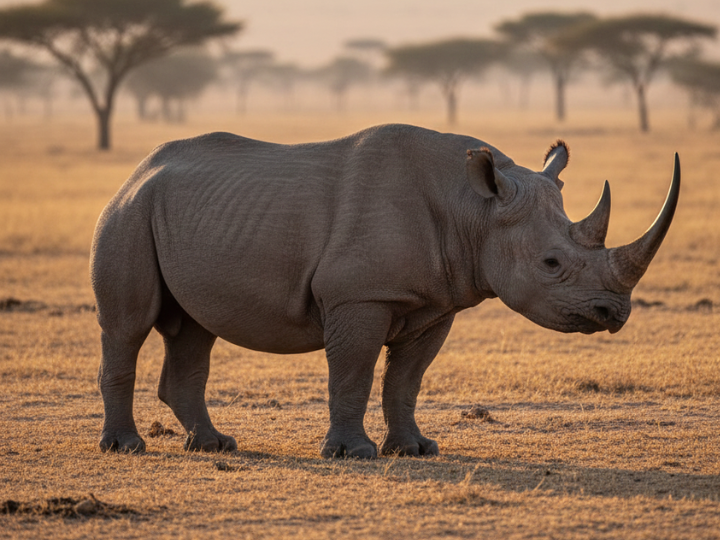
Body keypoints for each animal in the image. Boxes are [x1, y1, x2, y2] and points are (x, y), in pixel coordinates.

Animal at [90, 124, 680, 458]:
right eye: (551, 264)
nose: (614, 312)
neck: (474, 208)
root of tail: (136, 171)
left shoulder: (436, 301)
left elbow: (406, 379)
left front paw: (416, 449)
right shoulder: (359, 295)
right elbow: (353, 372)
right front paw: (352, 454)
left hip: (183, 213)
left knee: (195, 328)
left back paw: (214, 445)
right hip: (128, 212)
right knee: (128, 325)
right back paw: (127, 449)